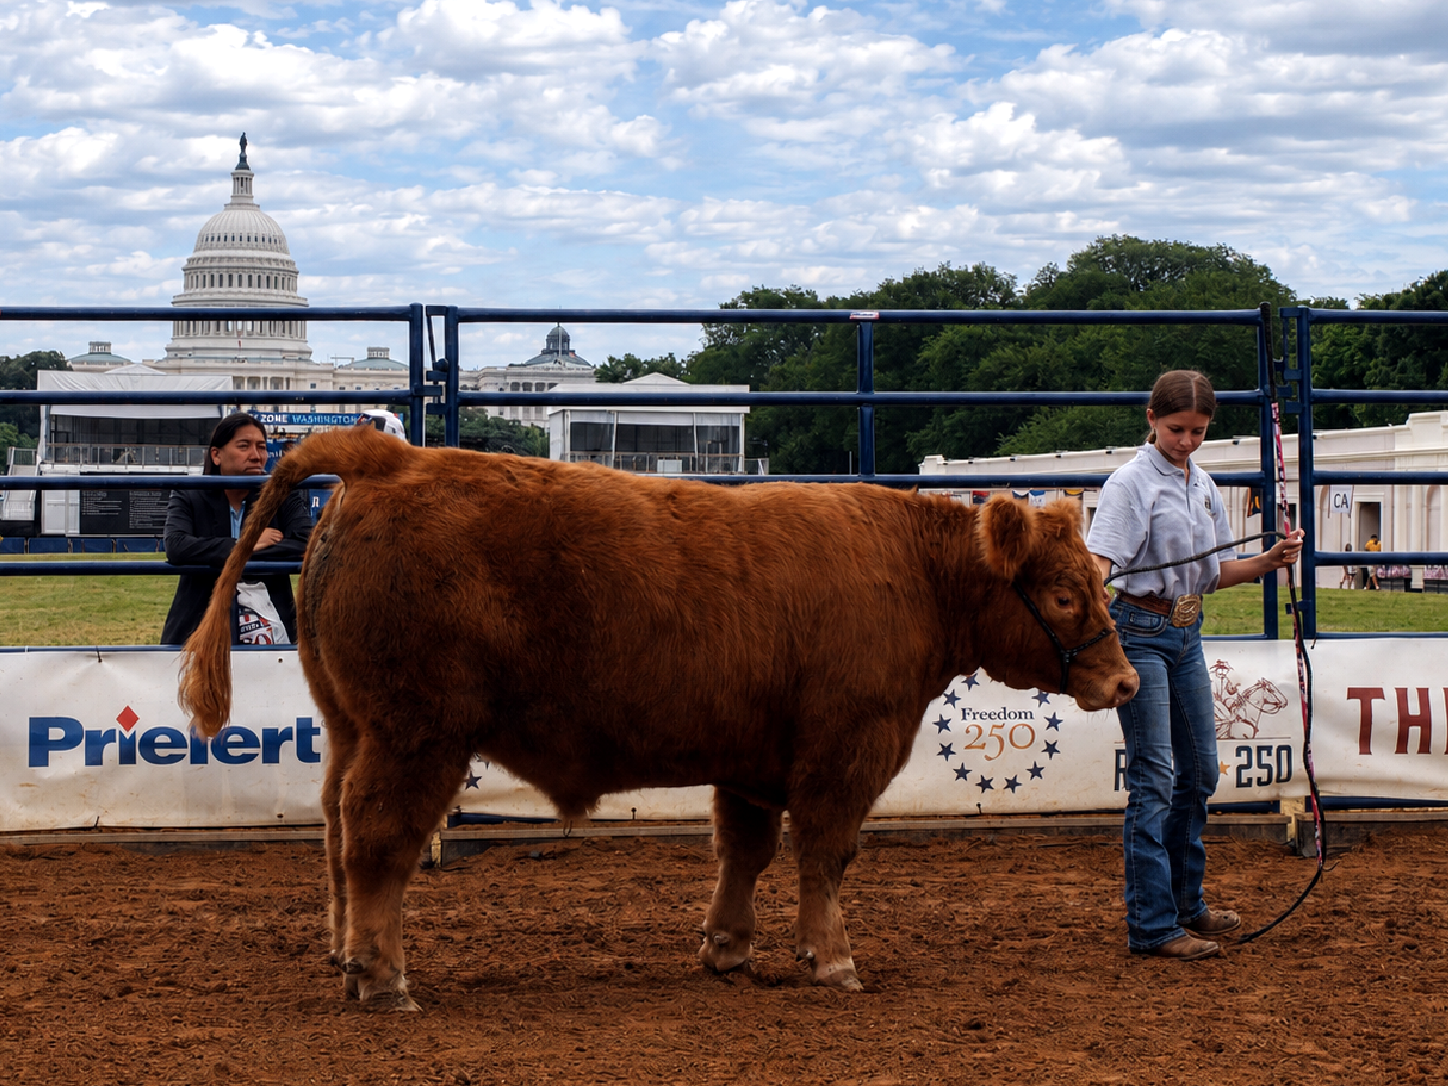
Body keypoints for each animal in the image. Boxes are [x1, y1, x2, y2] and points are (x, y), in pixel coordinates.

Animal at [179, 426, 1137, 1010]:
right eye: (1062, 592)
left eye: (1097, 580)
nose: (1125, 682)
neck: (911, 571)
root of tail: (389, 454)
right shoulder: (848, 746)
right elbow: (825, 855)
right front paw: (831, 959)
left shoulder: (752, 755)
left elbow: (745, 850)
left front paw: (728, 947)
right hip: (417, 734)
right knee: (379, 838)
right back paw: (384, 978)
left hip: (352, 728)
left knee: (337, 831)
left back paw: (348, 958)